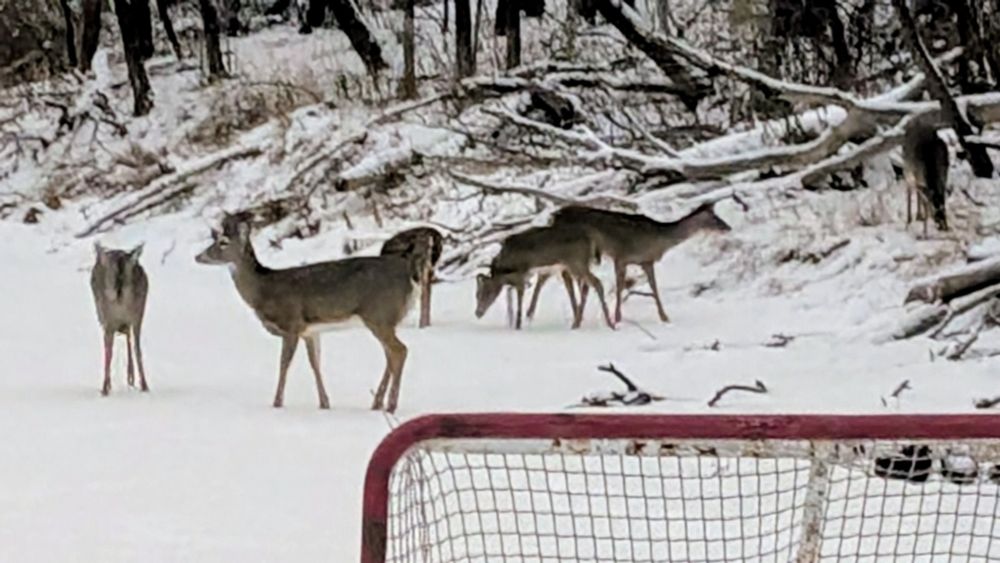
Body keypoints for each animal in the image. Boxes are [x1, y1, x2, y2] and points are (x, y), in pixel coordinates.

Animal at [90, 243, 150, 396]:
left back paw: (105, 387)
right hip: (139, 311)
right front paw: (131, 378)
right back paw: (144, 385)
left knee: (109, 348)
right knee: (137, 345)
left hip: (105, 314)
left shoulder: (106, 319)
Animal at [195, 212, 418, 413]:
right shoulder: (310, 332)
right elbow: (315, 363)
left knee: (400, 351)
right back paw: (377, 404)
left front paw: (277, 404)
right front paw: (324, 403)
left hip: (379, 315)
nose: (198, 256)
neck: (263, 290)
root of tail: (408, 274)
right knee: (390, 355)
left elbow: (284, 364)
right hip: (384, 319)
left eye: (223, 242)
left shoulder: (291, 324)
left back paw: (391, 405)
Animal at [475, 224, 614, 330]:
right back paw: (579, 323)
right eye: (476, 295)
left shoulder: (521, 276)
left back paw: (609, 324)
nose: (477, 313)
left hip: (576, 263)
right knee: (588, 286)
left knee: (597, 282)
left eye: (487, 292)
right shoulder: (523, 277)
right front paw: (511, 321)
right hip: (579, 265)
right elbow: (510, 294)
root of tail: (593, 238)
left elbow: (519, 301)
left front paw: (518, 326)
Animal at [545, 203, 731, 324]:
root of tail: (554, 217)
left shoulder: (646, 261)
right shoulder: (621, 256)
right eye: (715, 218)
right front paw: (617, 317)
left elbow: (654, 287)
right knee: (568, 276)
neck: (659, 239)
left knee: (569, 277)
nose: (728, 227)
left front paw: (664, 317)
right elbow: (620, 287)